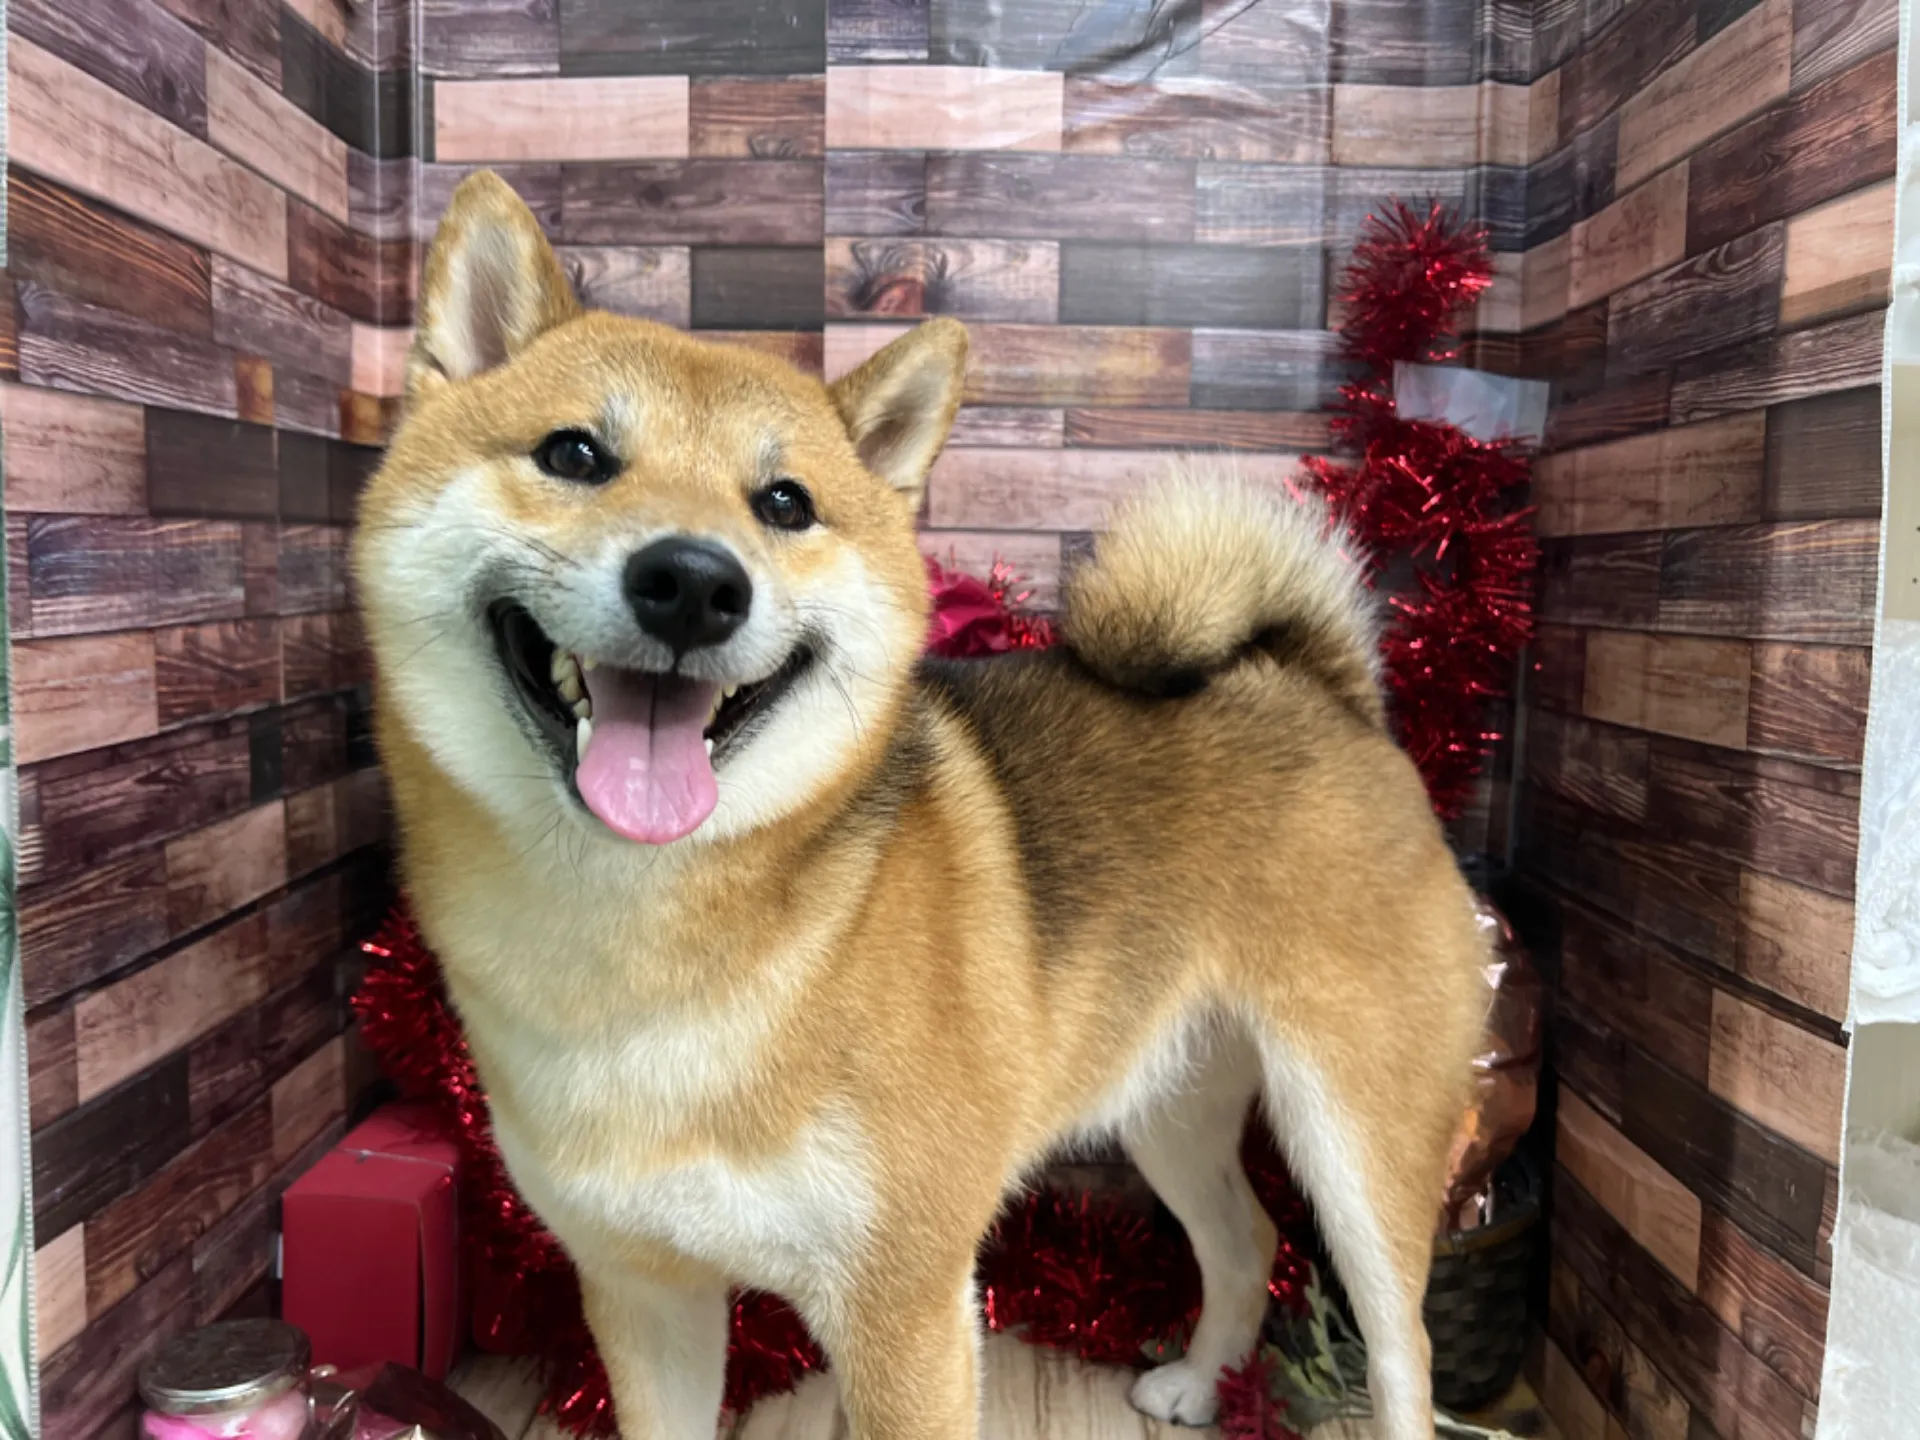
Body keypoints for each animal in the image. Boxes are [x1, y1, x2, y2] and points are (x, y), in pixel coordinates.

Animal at [354, 171, 1490, 1440]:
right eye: (574, 453)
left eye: (785, 502)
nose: (693, 582)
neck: (642, 941)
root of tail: (1329, 694)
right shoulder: (643, 1292)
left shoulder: (904, 1306)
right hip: (1171, 1101)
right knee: (1244, 1241)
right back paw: (1201, 1382)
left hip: (1358, 1143)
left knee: (1399, 1346)